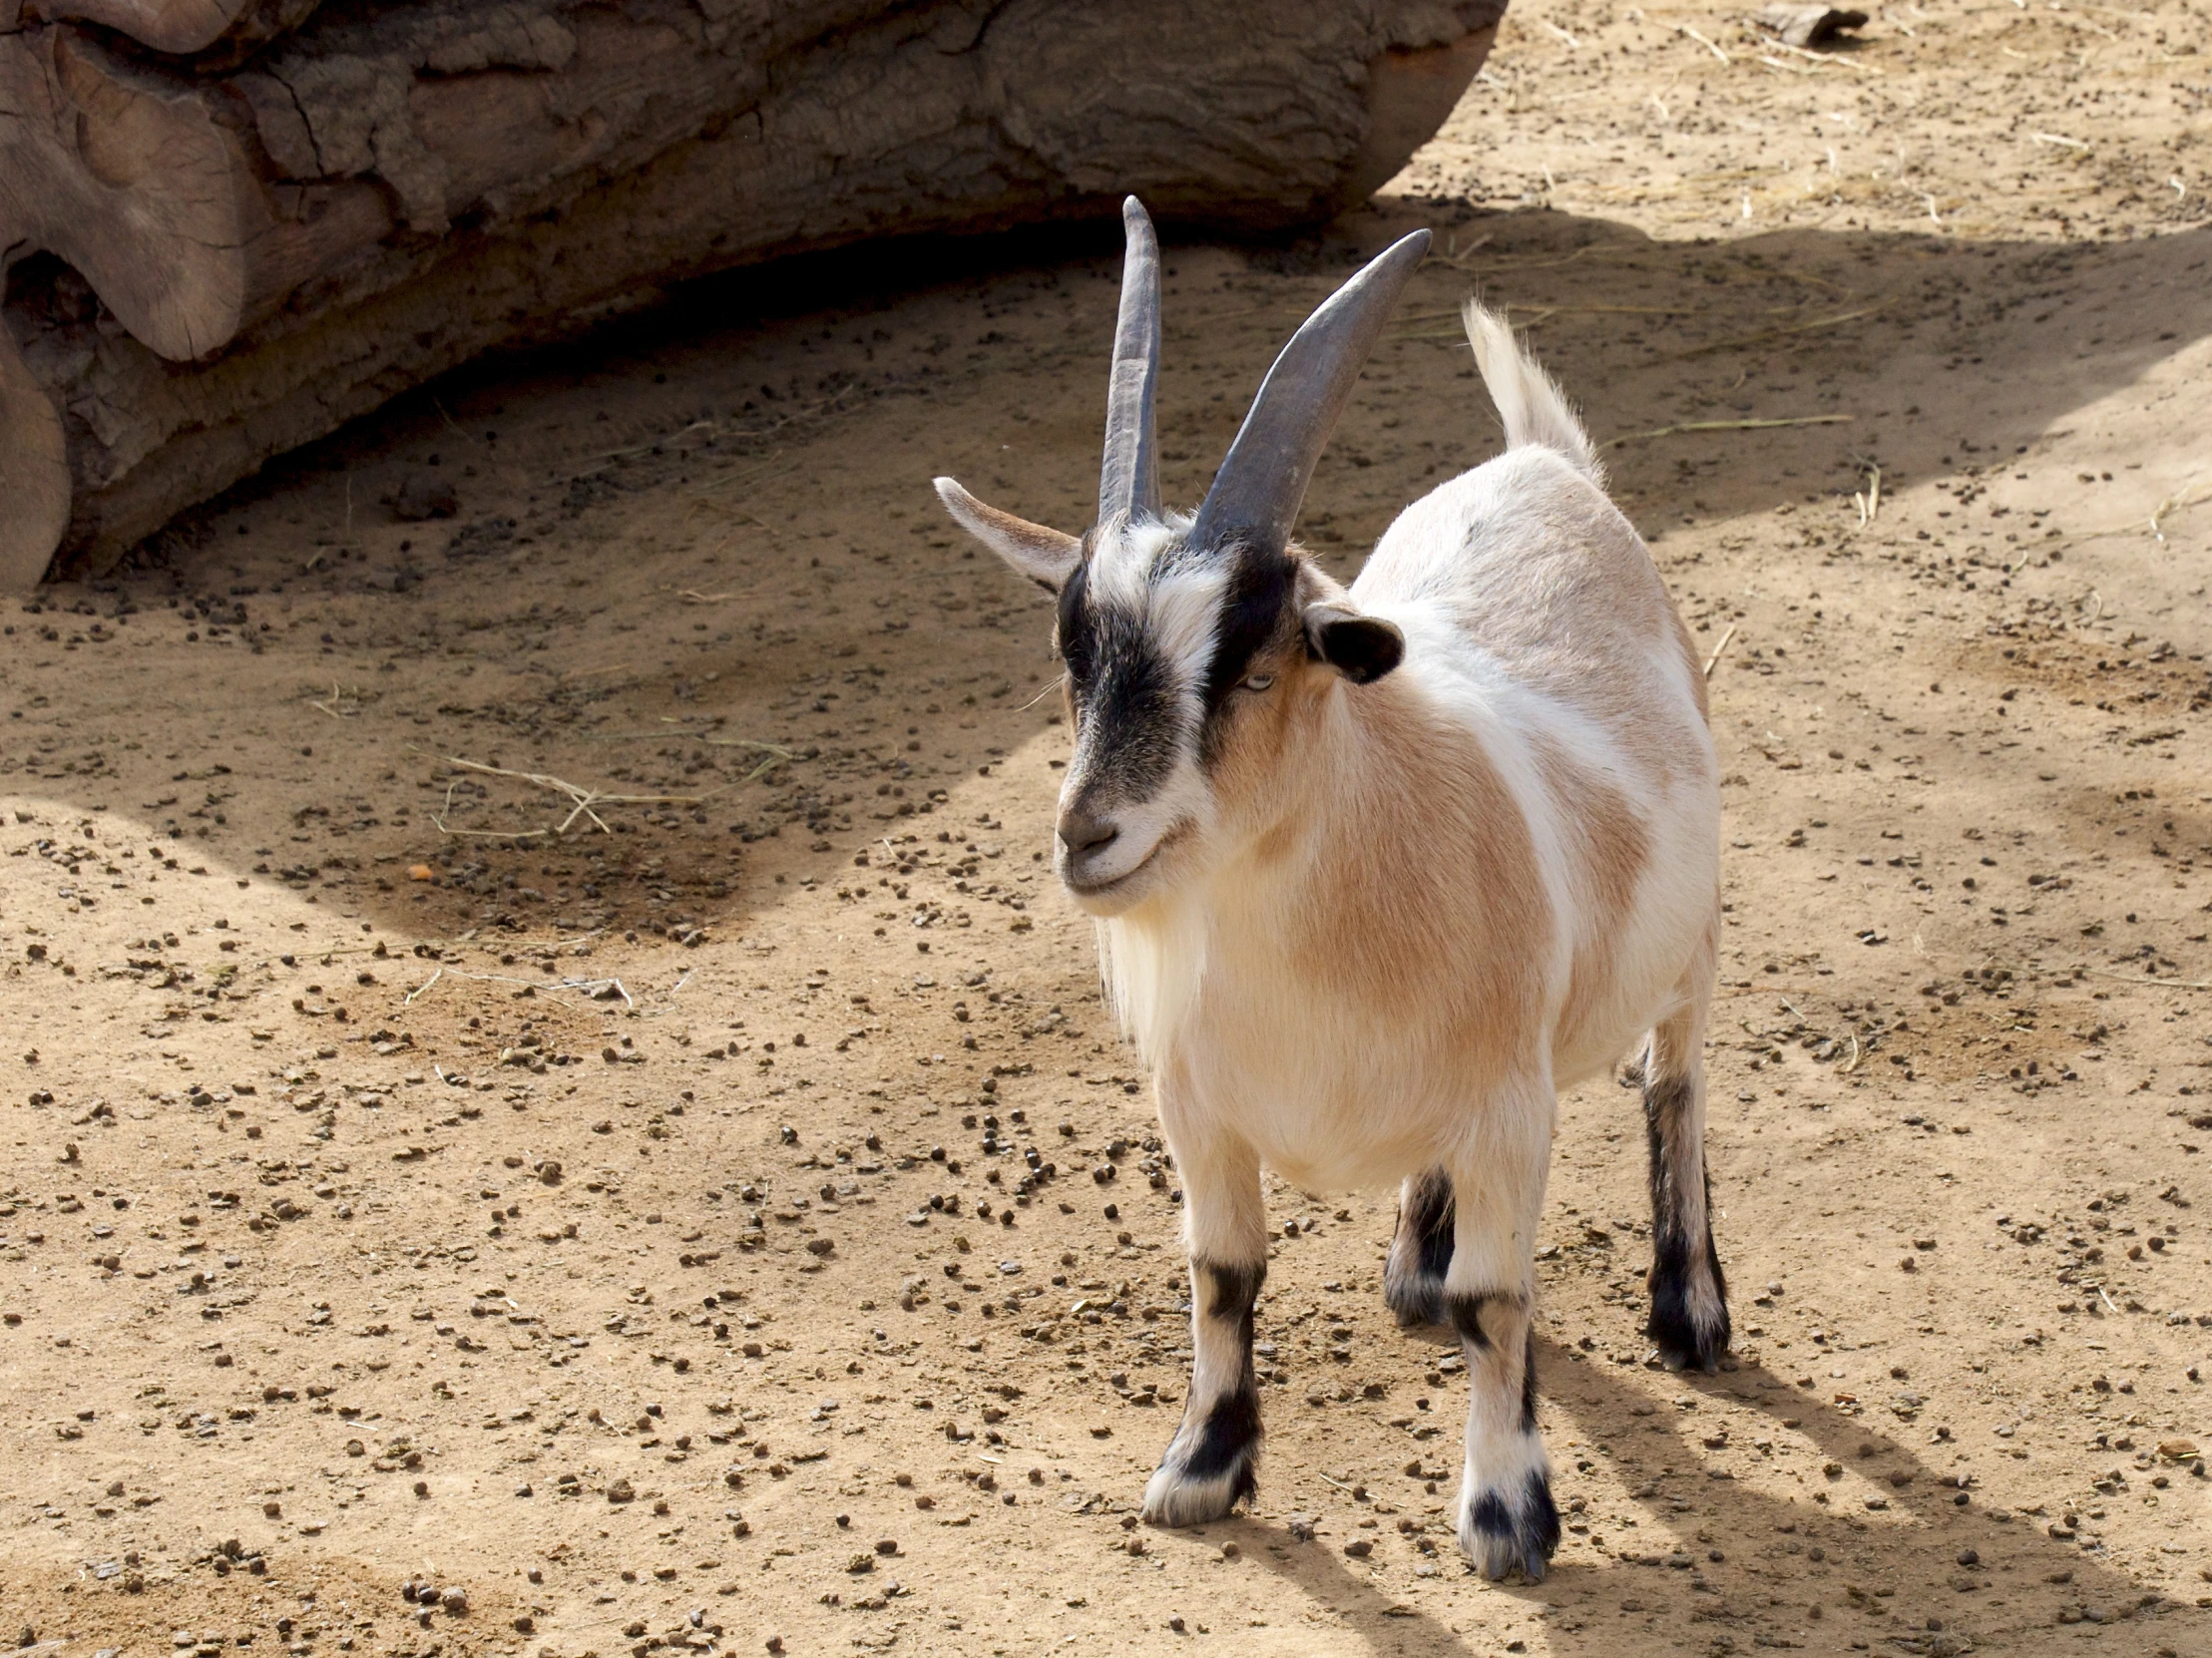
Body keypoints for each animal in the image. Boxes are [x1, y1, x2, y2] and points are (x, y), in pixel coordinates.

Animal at [933, 201, 1725, 1591]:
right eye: (1074, 658)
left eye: (1252, 667)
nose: (1090, 836)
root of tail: (1543, 465)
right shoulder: (1197, 1107)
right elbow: (1222, 1272)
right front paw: (1201, 1469)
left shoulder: (1510, 1106)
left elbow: (1502, 1301)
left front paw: (1508, 1516)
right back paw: (1413, 1264)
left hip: (1696, 937)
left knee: (1672, 1078)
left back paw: (1690, 1310)